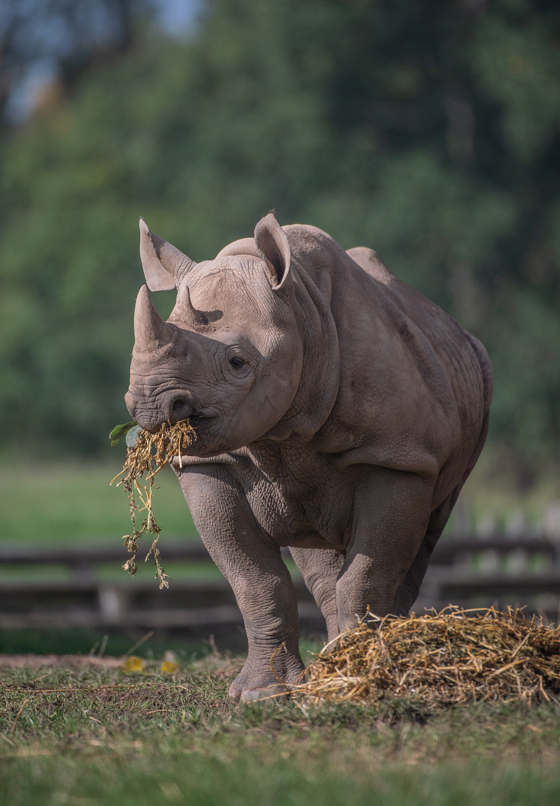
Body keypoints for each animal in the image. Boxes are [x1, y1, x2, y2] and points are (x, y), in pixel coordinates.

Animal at [125, 211, 493, 702]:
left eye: (238, 362)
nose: (151, 404)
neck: (300, 311)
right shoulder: (208, 465)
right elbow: (254, 578)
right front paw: (262, 694)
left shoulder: (399, 457)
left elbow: (369, 572)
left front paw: (363, 674)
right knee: (316, 549)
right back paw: (326, 668)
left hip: (473, 381)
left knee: (426, 531)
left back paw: (371, 655)